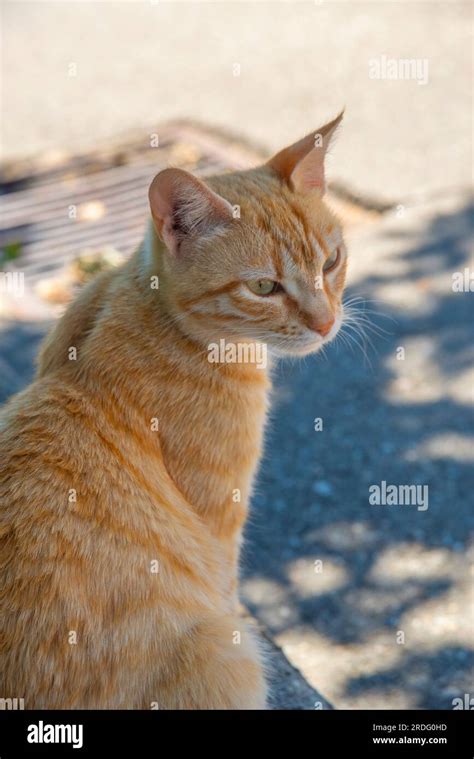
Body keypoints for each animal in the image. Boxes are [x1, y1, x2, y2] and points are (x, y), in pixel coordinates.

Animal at [0, 114, 348, 712]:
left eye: (330, 262)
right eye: (263, 286)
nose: (326, 323)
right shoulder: (221, 531)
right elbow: (225, 586)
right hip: (225, 653)